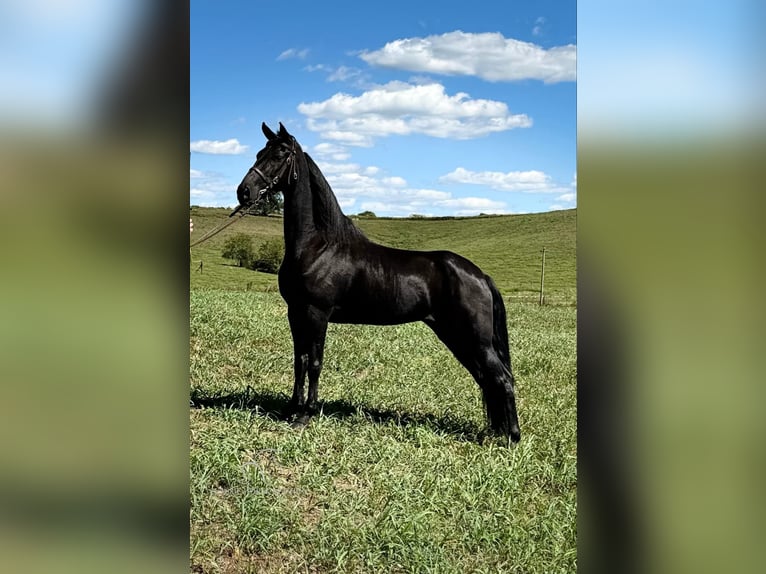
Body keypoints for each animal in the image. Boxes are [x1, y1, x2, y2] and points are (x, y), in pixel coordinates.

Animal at [236, 124, 520, 444]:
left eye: (280, 154)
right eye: (259, 153)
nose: (244, 191)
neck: (318, 246)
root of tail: (481, 276)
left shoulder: (316, 314)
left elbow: (315, 363)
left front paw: (305, 415)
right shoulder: (295, 313)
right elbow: (300, 361)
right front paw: (290, 410)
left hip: (473, 338)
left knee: (501, 378)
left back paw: (511, 436)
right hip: (457, 336)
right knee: (487, 378)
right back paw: (495, 431)